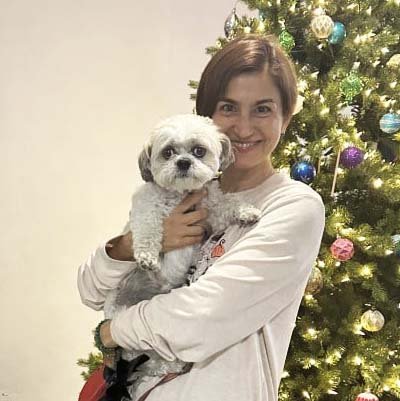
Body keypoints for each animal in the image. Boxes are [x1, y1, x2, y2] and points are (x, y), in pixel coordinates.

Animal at [103, 112, 260, 396]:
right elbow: (148, 230)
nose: (184, 162)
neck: (180, 196)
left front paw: (246, 211)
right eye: (168, 152)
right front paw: (147, 257)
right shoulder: (146, 208)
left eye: (199, 151)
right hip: (124, 318)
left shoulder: (211, 212)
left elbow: (227, 203)